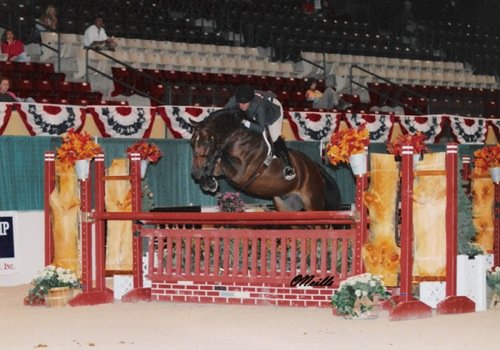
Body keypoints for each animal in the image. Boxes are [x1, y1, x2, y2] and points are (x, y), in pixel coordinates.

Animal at [189, 108, 342, 211]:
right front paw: (209, 182)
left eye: (206, 142)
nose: (195, 172)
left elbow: (220, 156)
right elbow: (216, 163)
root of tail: (316, 168)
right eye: (192, 142)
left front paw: (209, 176)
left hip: (313, 202)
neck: (236, 137)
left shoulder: (241, 171)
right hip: (287, 205)